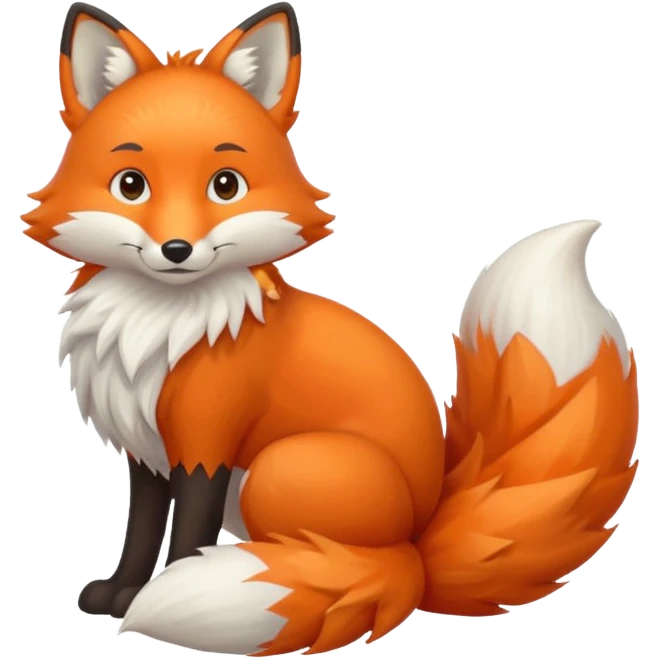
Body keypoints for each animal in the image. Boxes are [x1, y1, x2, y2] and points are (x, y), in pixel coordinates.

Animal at [22, 2, 639, 655]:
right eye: (131, 185)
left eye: (226, 185)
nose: (177, 250)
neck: (159, 331)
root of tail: (421, 539)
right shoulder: (147, 449)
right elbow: (140, 529)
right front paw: (121, 592)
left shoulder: (205, 444)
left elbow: (187, 531)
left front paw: (164, 590)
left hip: (276, 470)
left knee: (344, 559)